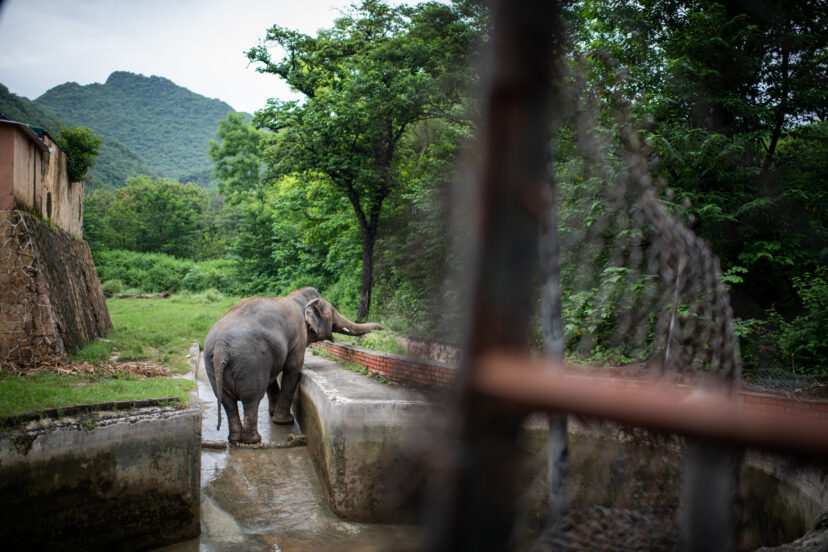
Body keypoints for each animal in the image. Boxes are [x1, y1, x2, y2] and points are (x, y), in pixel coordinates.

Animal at [202, 286, 384, 442]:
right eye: (332, 311)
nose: (382, 329)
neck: (298, 299)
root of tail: (220, 346)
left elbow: (272, 377)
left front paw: (273, 414)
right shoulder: (298, 337)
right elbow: (292, 369)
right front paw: (285, 421)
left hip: (211, 364)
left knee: (227, 401)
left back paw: (234, 439)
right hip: (251, 362)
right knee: (251, 398)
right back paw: (253, 440)